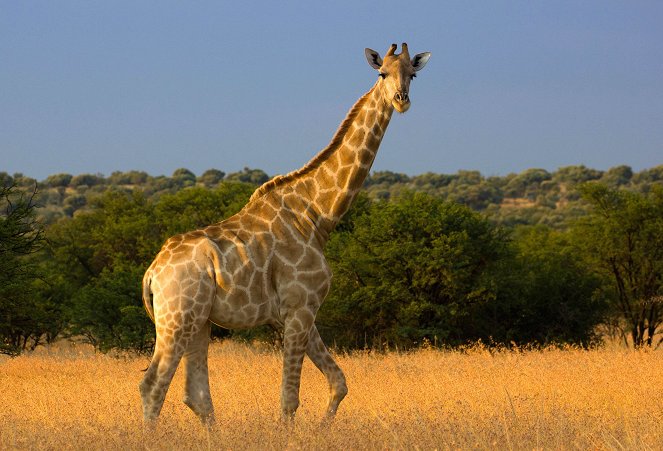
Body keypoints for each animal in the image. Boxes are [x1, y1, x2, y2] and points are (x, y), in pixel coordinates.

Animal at [139, 40, 430, 426]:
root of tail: (152, 272)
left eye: (412, 74)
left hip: (198, 321)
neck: (318, 216)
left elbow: (339, 382)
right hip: (177, 318)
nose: (401, 99)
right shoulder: (299, 306)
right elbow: (290, 399)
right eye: (382, 73)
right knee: (153, 384)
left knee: (195, 394)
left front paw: (322, 429)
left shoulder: (300, 311)